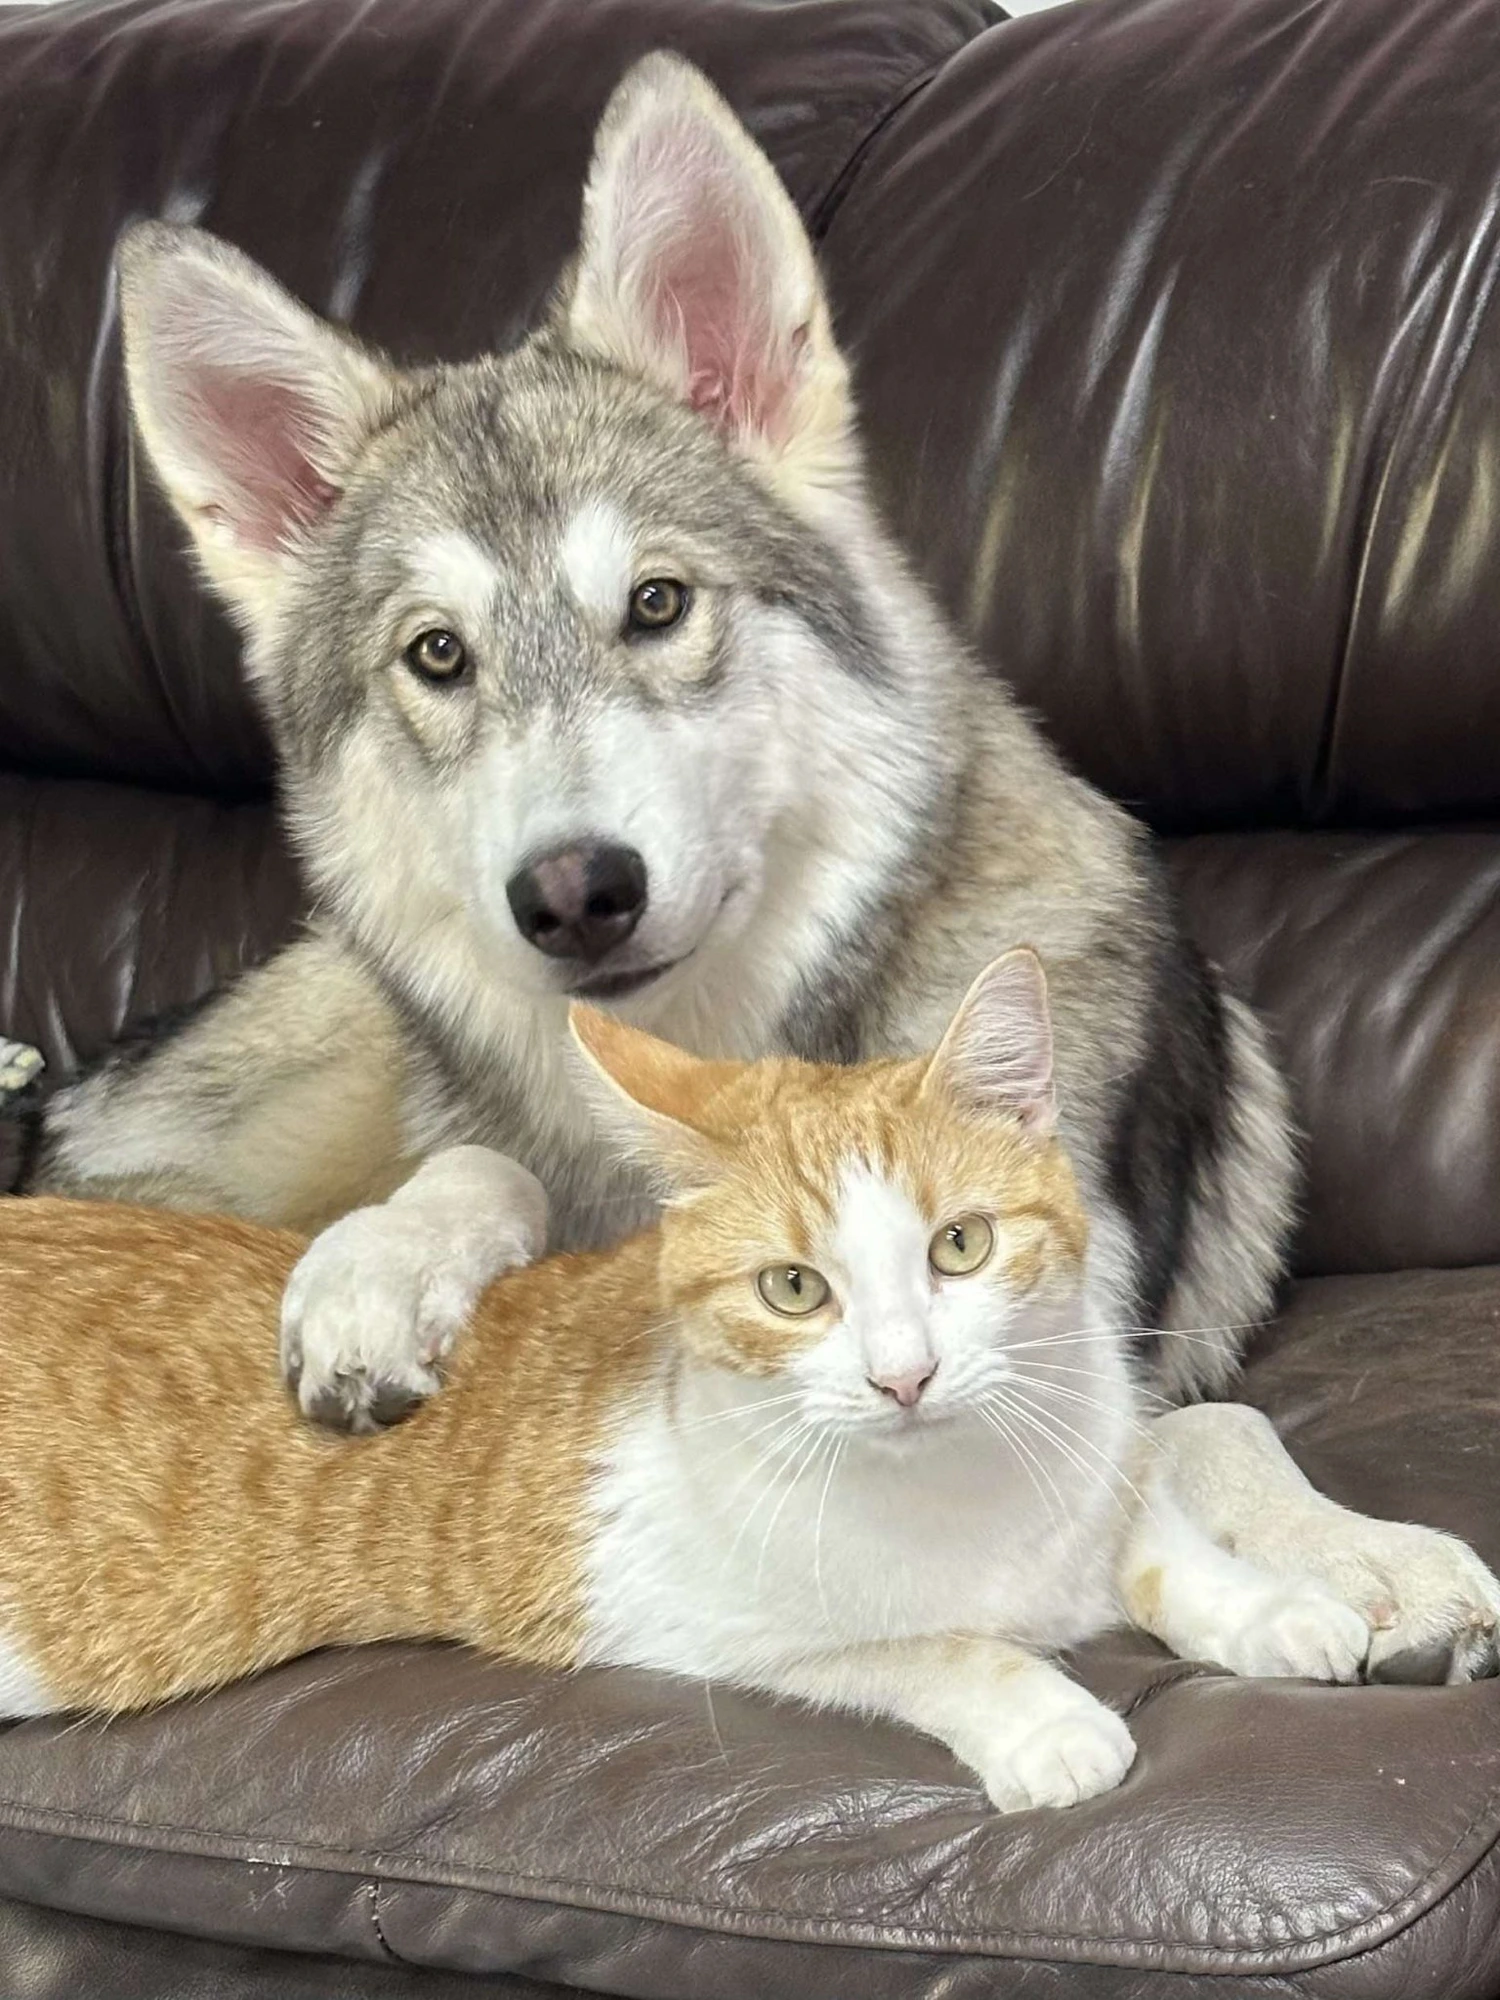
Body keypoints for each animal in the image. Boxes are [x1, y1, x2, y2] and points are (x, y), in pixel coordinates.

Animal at [25, 56, 1499, 1681]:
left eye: (659, 604)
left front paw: (1363, 1556)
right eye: (438, 656)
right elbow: (478, 1171)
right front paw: (378, 1268)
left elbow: (1201, 1424)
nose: (574, 894)